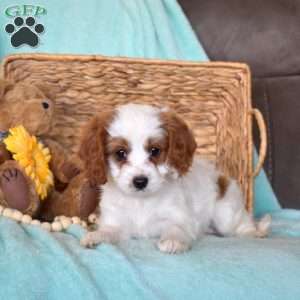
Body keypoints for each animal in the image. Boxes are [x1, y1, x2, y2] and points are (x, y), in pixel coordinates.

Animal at [79, 103, 270, 253]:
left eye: (155, 151)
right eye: (120, 153)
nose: (140, 181)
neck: (141, 201)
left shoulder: (179, 217)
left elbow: (175, 228)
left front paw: (172, 241)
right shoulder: (116, 222)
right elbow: (109, 230)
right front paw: (95, 236)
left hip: (226, 215)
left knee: (242, 224)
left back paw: (254, 232)